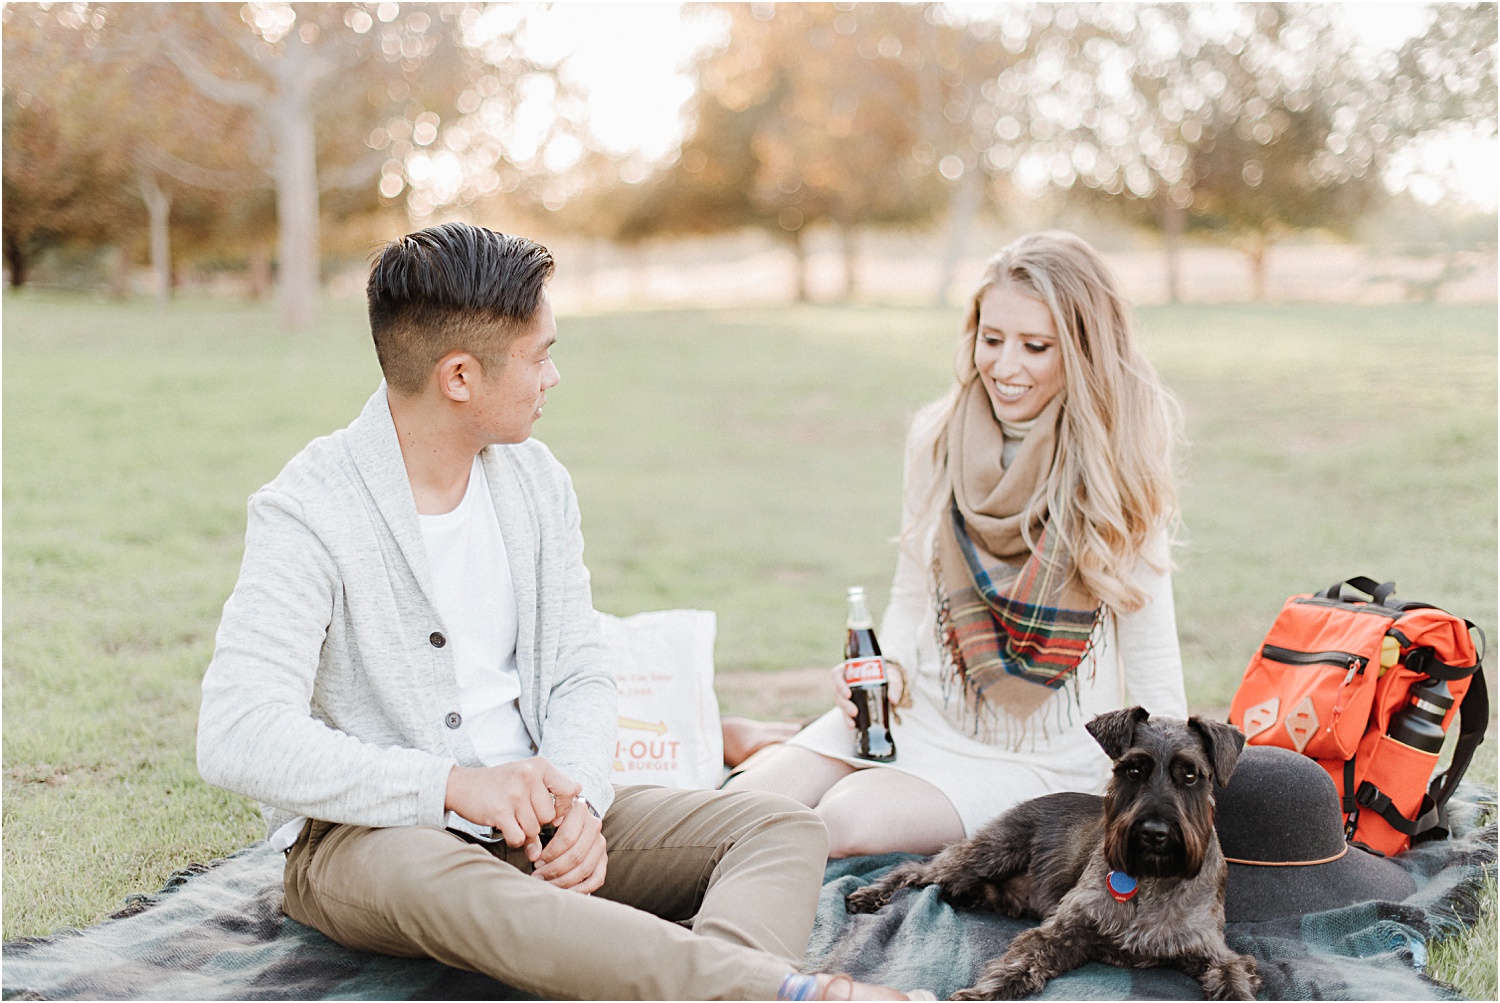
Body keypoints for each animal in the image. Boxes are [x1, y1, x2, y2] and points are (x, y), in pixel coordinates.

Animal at [852, 707, 1260, 995]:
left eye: (1190, 775)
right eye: (1132, 770)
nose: (1154, 833)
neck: (1151, 880)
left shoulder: (1212, 952)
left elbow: (1235, 978)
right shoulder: (1064, 930)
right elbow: (1021, 962)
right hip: (990, 852)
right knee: (915, 868)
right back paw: (869, 894)